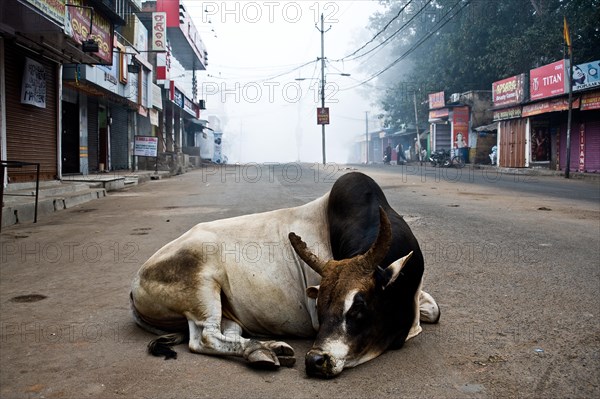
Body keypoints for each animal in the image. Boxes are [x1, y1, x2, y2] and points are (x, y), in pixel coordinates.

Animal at [130, 172, 440, 378]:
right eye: (320, 306)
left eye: (359, 306)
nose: (315, 360)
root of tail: (134, 286)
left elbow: (434, 311)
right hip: (201, 289)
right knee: (204, 338)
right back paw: (266, 351)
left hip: (226, 311)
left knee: (225, 334)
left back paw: (264, 350)